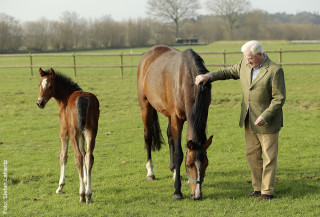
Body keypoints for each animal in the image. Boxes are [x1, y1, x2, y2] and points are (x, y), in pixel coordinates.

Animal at [36, 68, 99, 203]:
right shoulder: (82, 133)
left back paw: (82, 194)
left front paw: (60, 187)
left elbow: (63, 156)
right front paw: (85, 181)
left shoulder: (64, 131)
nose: (40, 103)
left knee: (78, 157)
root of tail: (83, 99)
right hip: (90, 131)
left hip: (73, 132)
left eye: (50, 86)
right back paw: (89, 194)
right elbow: (84, 153)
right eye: (39, 85)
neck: (65, 98)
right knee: (89, 156)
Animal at [137, 45, 212, 200]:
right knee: (148, 137)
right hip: (146, 107)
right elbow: (179, 154)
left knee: (170, 136)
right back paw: (150, 173)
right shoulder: (177, 118)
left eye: (206, 164)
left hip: (168, 113)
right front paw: (177, 191)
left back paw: (174, 172)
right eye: (188, 165)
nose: (197, 195)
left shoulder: (202, 114)